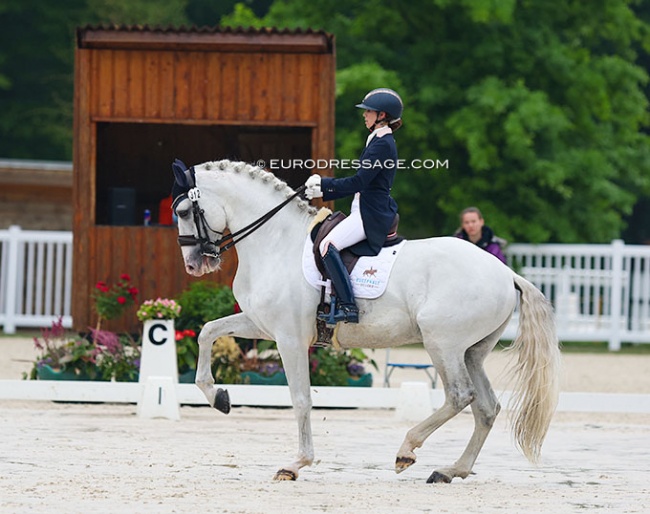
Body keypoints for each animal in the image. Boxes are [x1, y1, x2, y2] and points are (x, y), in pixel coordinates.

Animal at [173, 158, 560, 482]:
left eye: (183, 210)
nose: (192, 264)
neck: (276, 242)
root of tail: (506, 272)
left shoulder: (290, 338)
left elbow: (301, 398)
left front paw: (296, 464)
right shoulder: (262, 324)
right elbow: (207, 332)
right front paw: (219, 397)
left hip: (443, 344)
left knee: (459, 396)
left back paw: (407, 451)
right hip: (472, 352)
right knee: (486, 407)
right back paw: (451, 470)